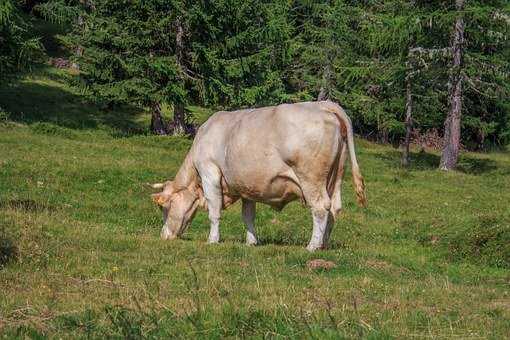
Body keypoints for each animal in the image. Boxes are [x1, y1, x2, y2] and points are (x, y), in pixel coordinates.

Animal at [149, 99, 364, 251]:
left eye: (165, 207)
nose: (163, 236)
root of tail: (323, 104)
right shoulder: (247, 187)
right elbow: (248, 216)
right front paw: (251, 242)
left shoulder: (210, 173)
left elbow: (214, 212)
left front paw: (212, 240)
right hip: (335, 177)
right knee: (334, 208)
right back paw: (324, 244)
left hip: (311, 178)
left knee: (320, 208)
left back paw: (312, 246)